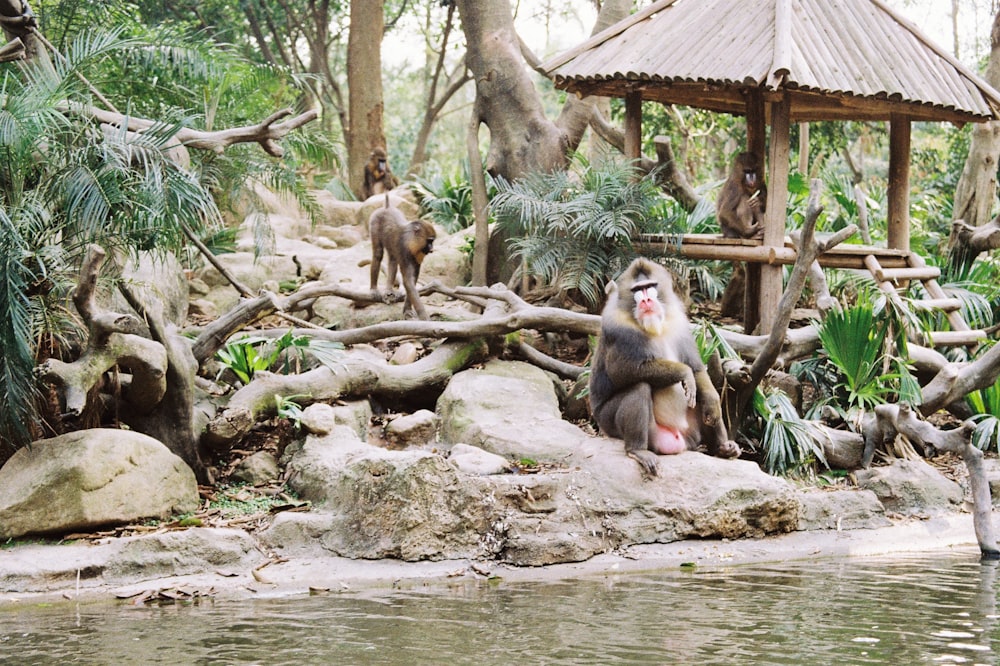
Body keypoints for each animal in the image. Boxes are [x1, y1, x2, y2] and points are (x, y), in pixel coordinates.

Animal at [584, 256, 744, 474]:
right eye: (637, 289)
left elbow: (697, 368)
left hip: (693, 432)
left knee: (701, 397)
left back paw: (724, 448)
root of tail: (680, 440)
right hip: (612, 425)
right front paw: (684, 374)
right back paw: (638, 450)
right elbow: (623, 372)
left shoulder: (679, 323)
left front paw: (712, 401)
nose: (646, 300)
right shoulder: (618, 329)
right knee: (639, 387)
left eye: (650, 286)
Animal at [720, 152, 764, 318]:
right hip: (731, 232)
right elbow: (725, 212)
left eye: (753, 171)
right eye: (747, 171)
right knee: (744, 199)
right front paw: (749, 231)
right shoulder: (735, 187)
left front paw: (759, 203)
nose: (751, 178)